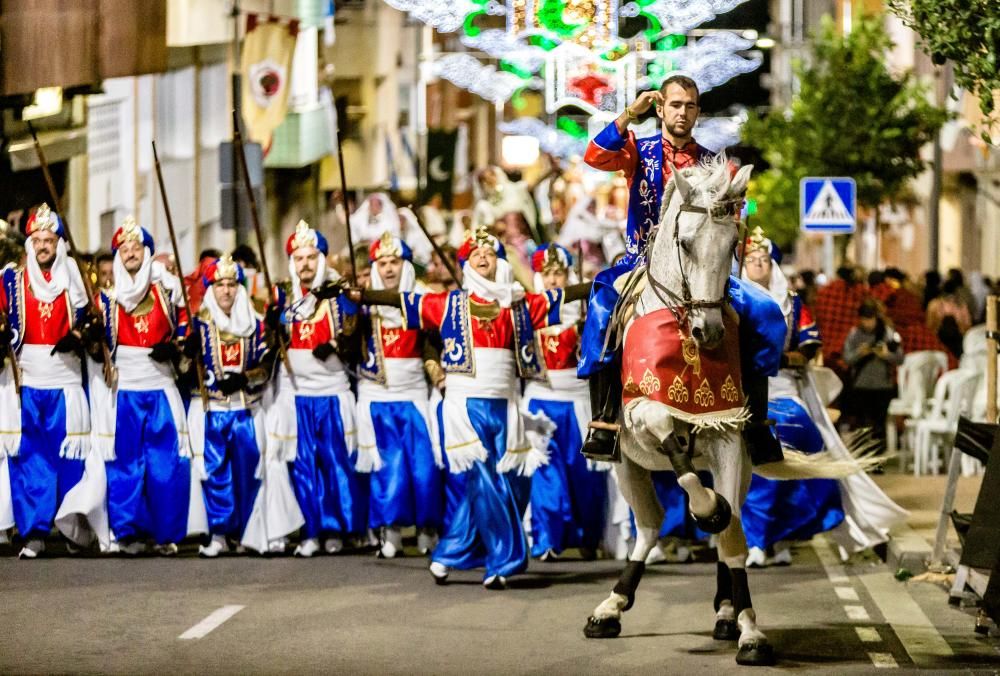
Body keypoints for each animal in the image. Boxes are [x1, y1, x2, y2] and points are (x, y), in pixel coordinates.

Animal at [584, 157, 864, 664]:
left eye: (733, 243)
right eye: (685, 243)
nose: (709, 331)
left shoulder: (730, 440)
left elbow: (731, 534)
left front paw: (750, 630)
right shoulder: (638, 412)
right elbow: (665, 428)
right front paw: (702, 505)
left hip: (743, 462)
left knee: (717, 523)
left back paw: (725, 611)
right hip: (626, 465)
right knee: (649, 528)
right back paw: (611, 607)